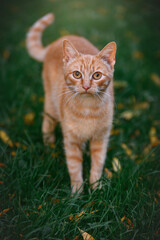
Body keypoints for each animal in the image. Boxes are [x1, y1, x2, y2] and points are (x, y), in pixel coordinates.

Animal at [26, 13, 116, 193]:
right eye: (77, 74)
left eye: (97, 75)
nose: (86, 86)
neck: (88, 109)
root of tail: (55, 42)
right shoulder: (71, 141)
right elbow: (74, 168)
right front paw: (77, 192)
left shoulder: (101, 138)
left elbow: (97, 164)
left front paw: (95, 187)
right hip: (51, 107)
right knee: (47, 124)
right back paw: (49, 147)